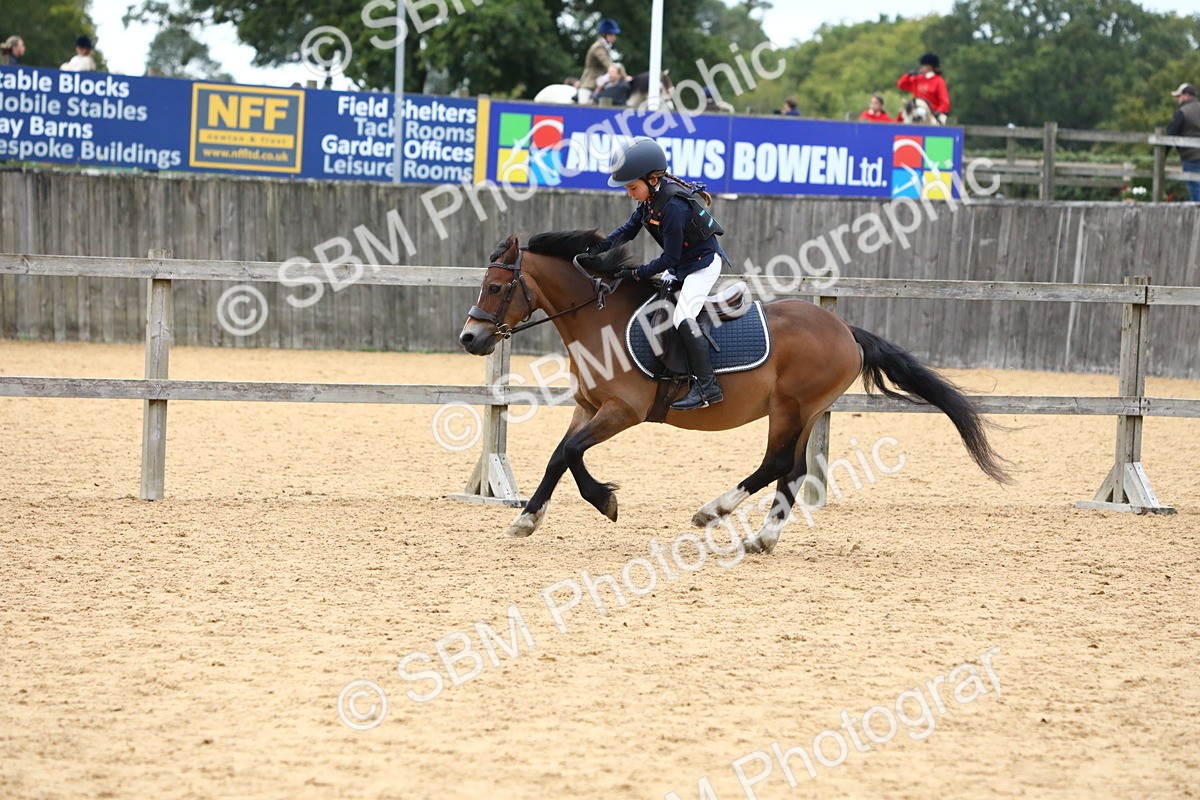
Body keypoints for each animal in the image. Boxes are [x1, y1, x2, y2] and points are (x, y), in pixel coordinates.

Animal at [458, 231, 1010, 553]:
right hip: (805, 412)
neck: (600, 319)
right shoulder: (589, 406)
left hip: (791, 407)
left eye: (494, 287)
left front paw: (589, 504)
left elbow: (569, 452)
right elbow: (562, 455)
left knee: (777, 464)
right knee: (793, 469)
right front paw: (540, 514)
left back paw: (715, 511)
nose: (469, 339)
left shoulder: (622, 410)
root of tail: (845, 330)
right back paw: (763, 537)